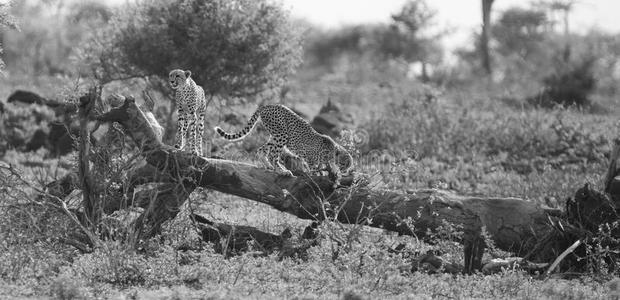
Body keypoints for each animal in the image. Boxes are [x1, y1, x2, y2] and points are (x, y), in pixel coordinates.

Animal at [216, 104, 354, 182]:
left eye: (347, 166)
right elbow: (313, 168)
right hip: (282, 134)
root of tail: (267, 105)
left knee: (261, 149)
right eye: (343, 164)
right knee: (273, 155)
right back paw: (283, 171)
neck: (332, 151)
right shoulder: (309, 157)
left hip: (275, 136)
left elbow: (320, 167)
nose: (344, 171)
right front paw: (316, 175)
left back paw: (268, 166)